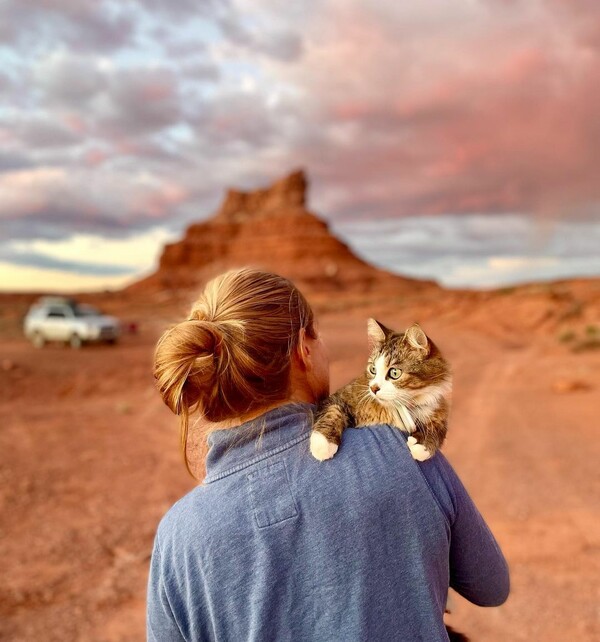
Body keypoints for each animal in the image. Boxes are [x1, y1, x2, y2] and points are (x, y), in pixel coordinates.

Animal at [310, 318, 450, 460]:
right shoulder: (340, 396)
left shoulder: (437, 408)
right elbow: (332, 412)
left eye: (394, 373)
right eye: (373, 369)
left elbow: (437, 427)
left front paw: (422, 445)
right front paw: (322, 444)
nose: (373, 388)